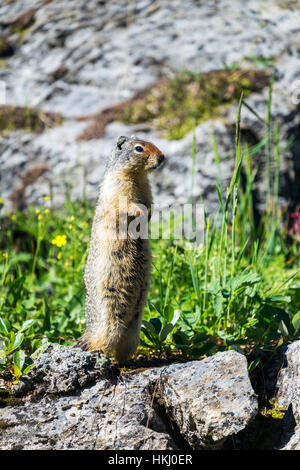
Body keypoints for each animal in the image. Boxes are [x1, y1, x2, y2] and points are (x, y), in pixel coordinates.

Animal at [75, 136, 164, 364]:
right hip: (110, 323)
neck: (137, 176)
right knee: (103, 344)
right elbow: (126, 205)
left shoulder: (147, 189)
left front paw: (150, 213)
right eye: (139, 148)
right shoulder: (118, 186)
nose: (162, 157)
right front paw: (140, 211)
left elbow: (150, 203)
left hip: (133, 333)